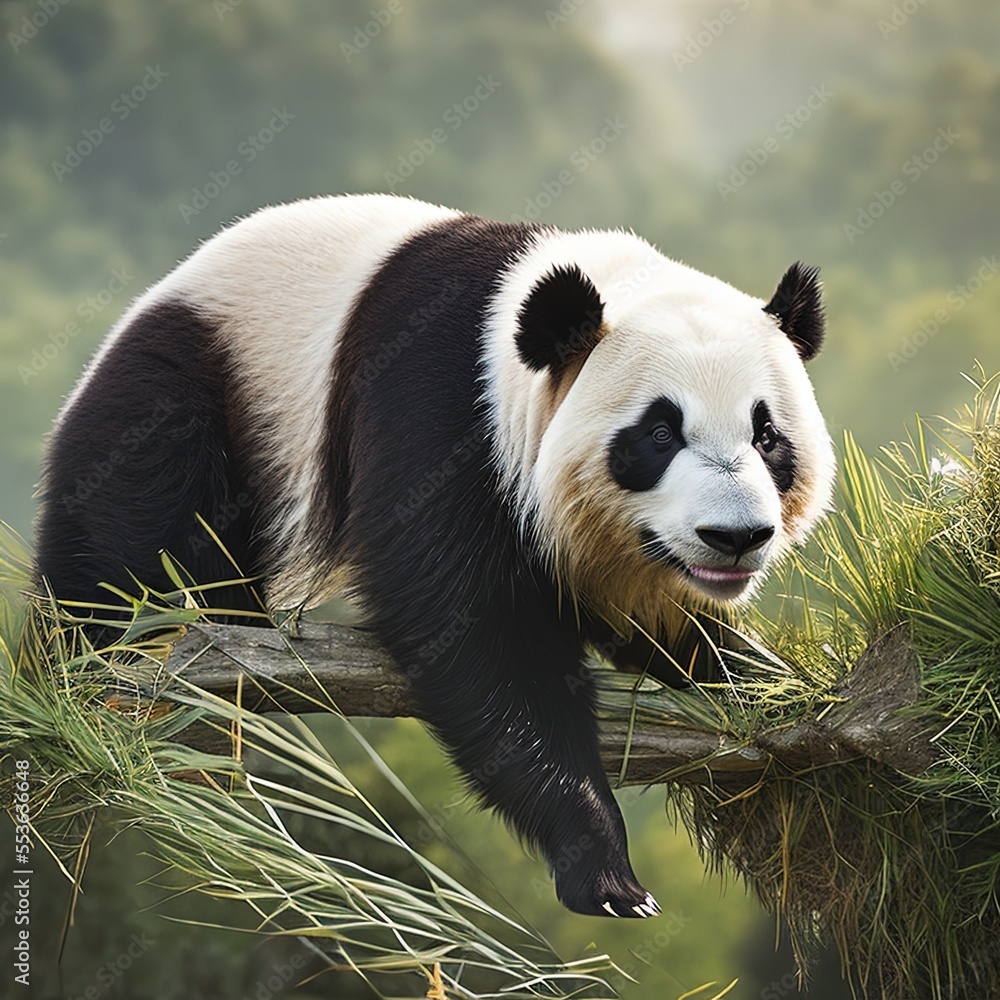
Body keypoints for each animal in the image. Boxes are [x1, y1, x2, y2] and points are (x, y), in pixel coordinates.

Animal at [36, 194, 835, 918]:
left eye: (768, 436)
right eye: (660, 434)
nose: (736, 537)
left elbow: (667, 634)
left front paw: (770, 688)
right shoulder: (437, 402)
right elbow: (477, 632)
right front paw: (606, 873)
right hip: (201, 381)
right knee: (126, 549)